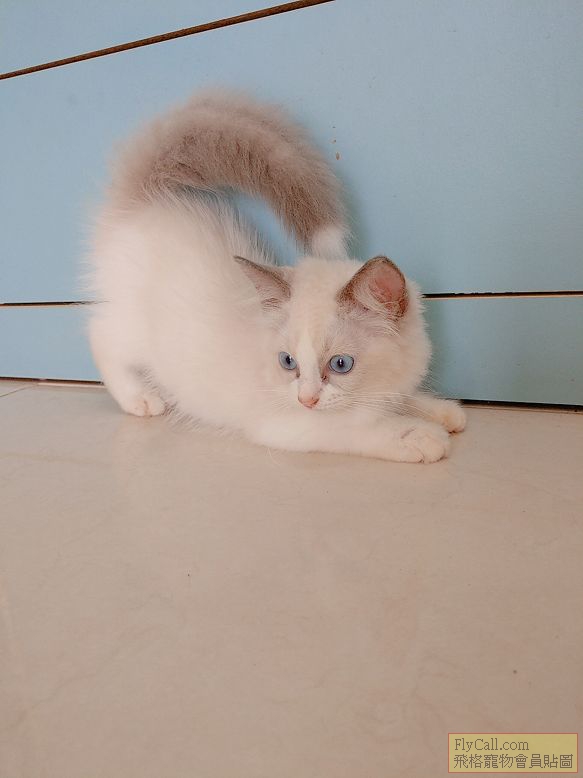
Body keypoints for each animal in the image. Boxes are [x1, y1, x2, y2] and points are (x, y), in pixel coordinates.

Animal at [87, 89, 465, 463]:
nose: (306, 399)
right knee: (101, 337)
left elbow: (401, 399)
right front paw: (417, 435)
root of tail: (148, 200)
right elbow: (352, 428)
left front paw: (441, 411)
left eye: (340, 364)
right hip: (132, 326)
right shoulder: (288, 423)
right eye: (288, 362)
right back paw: (139, 398)